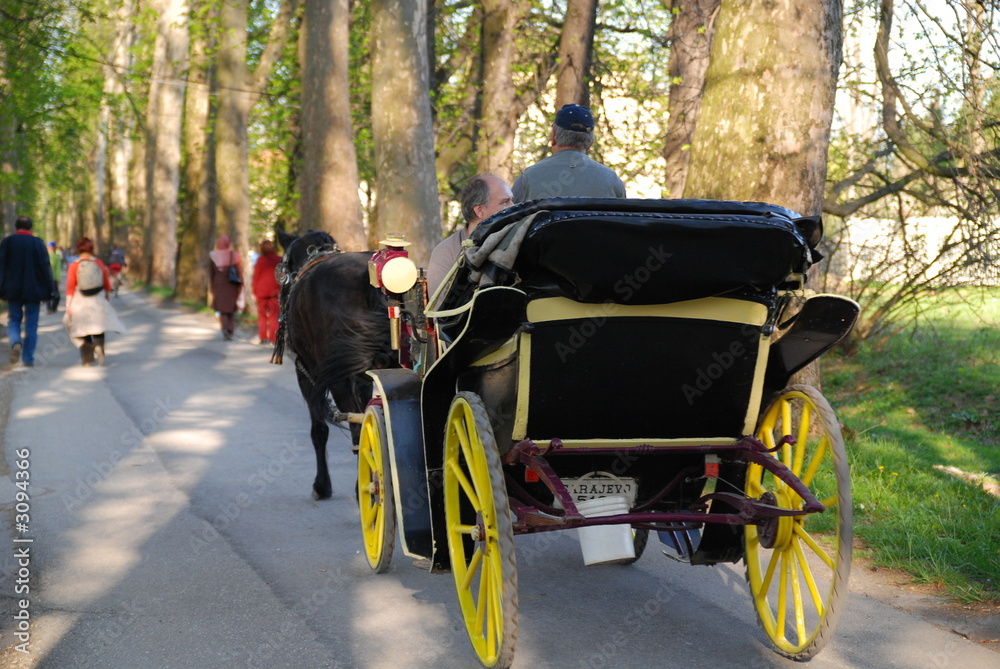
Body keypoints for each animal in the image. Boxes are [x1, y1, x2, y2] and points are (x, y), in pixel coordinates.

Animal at [276, 230, 396, 496]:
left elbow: (319, 430)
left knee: (355, 425)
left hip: (338, 377)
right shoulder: (363, 378)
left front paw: (321, 485)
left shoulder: (306, 373)